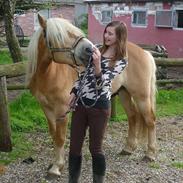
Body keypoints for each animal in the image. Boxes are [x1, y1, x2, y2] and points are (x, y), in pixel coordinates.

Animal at [26, 15, 157, 177]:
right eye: (60, 36)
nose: (90, 50)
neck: (50, 74)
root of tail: (145, 52)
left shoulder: (62, 110)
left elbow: (60, 137)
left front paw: (57, 167)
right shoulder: (46, 109)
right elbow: (53, 135)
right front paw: (55, 164)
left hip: (141, 96)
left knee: (150, 120)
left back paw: (150, 154)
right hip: (124, 93)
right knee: (133, 116)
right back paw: (128, 148)